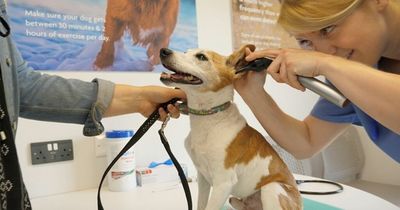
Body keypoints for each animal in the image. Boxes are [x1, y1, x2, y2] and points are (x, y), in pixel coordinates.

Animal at [159, 45, 304, 209]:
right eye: (185, 52)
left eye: (202, 57)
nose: (163, 51)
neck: (209, 118)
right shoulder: (202, 177)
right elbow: (201, 205)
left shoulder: (223, 183)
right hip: (235, 200)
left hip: (272, 188)